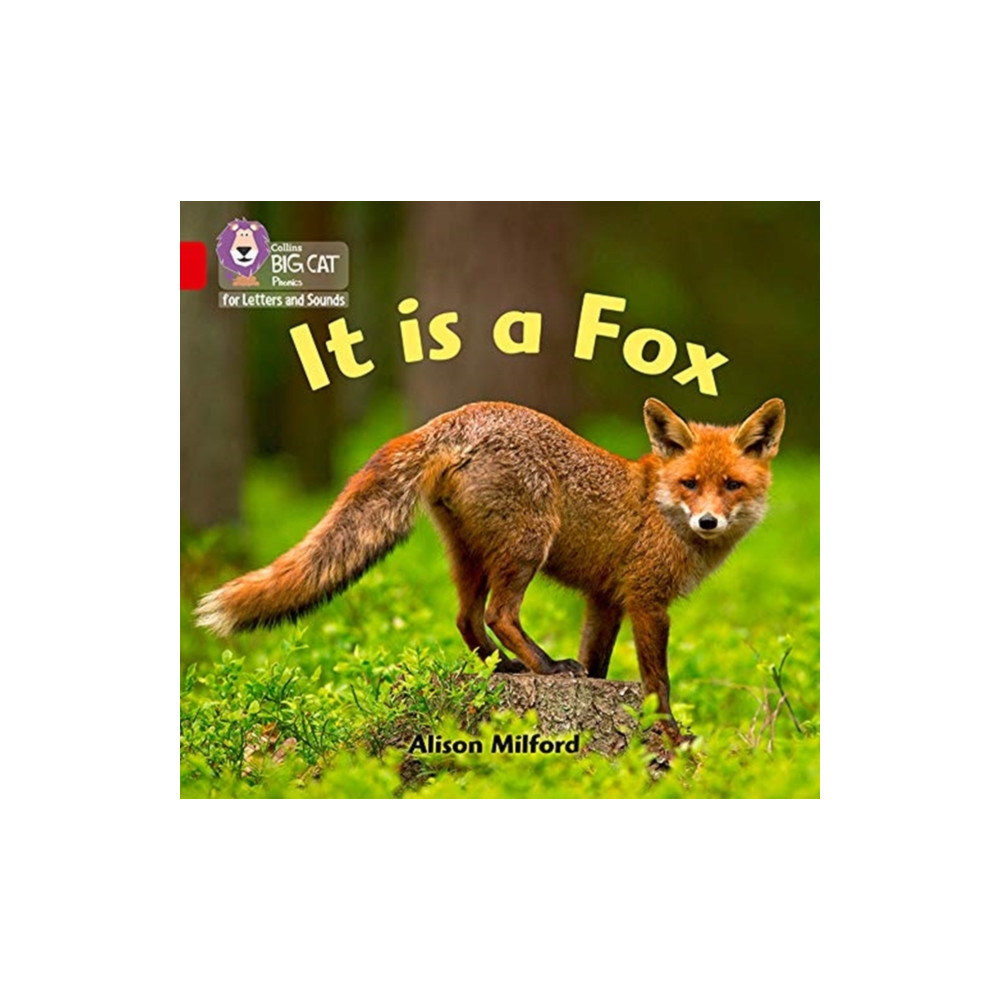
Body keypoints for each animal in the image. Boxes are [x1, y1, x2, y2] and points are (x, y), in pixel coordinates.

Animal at [196, 397, 785, 744]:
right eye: (691, 484)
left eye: (731, 485)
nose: (708, 521)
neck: (659, 506)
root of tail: (453, 417)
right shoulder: (646, 599)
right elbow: (657, 680)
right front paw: (669, 734)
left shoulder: (604, 599)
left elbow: (599, 665)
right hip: (526, 547)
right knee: (501, 614)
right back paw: (545, 668)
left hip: (470, 556)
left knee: (466, 619)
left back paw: (505, 668)